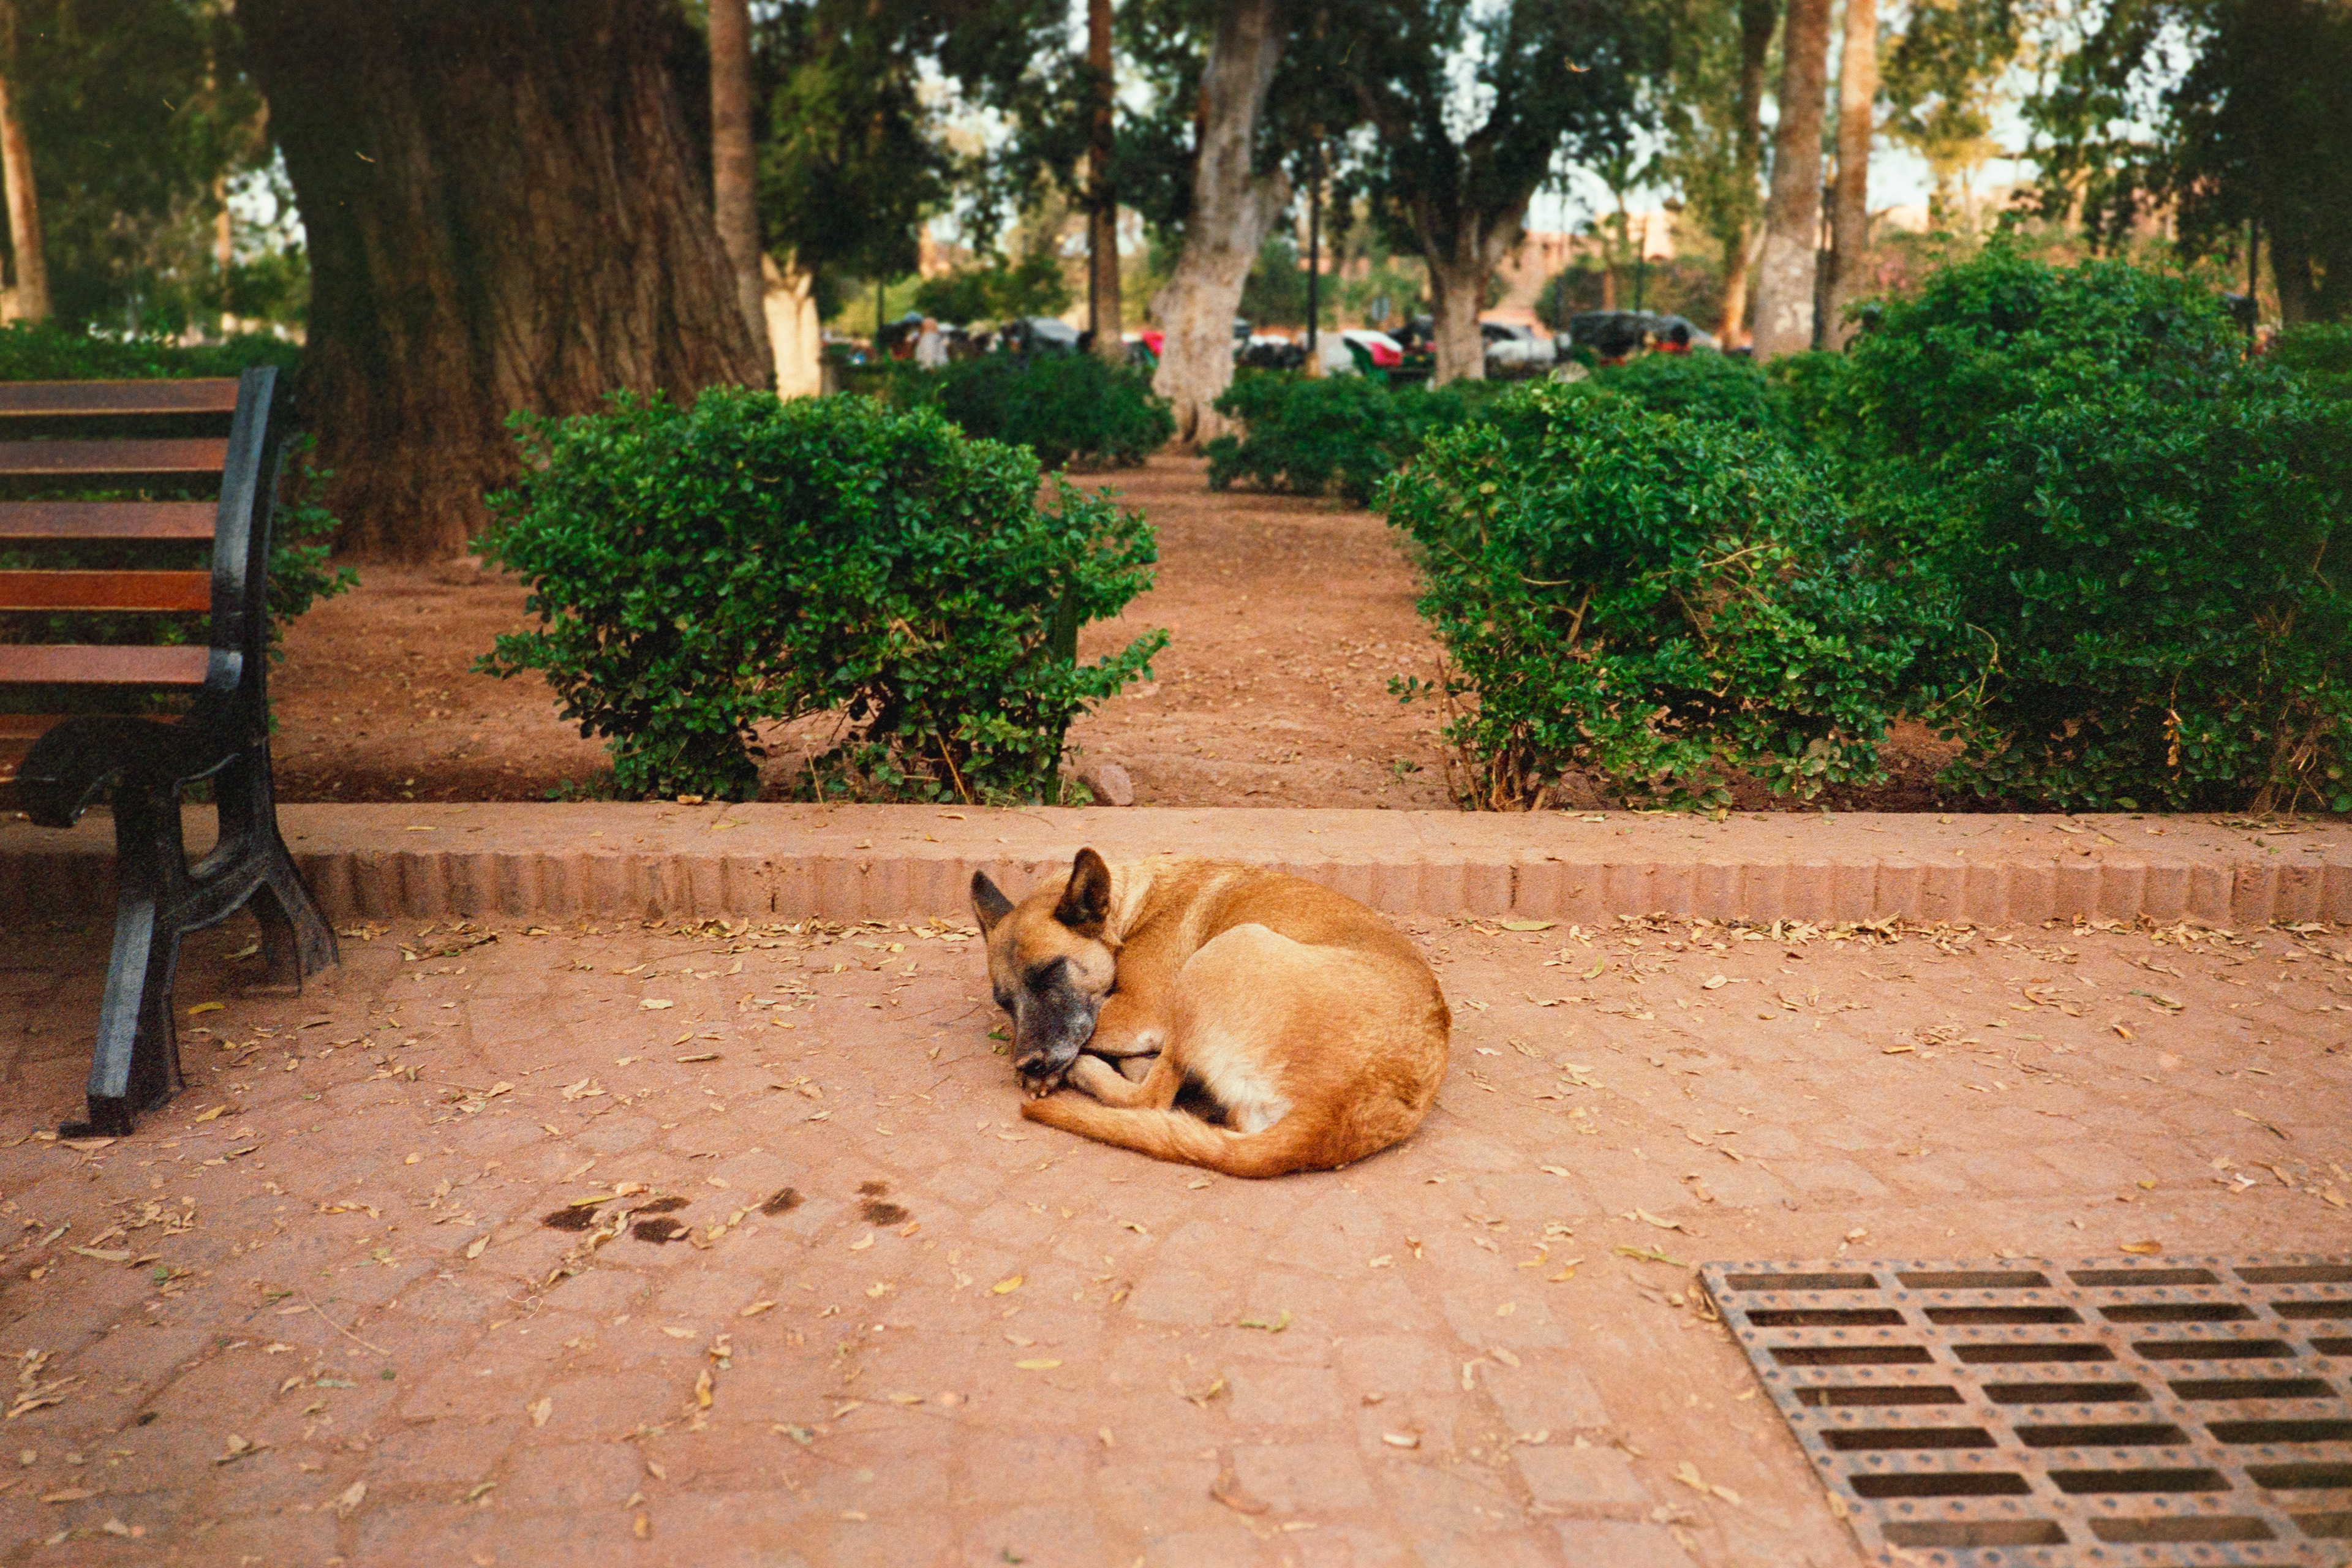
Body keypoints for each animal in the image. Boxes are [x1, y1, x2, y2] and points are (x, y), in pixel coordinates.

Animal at [970, 849, 1451, 1178]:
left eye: (1051, 972)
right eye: (1004, 1001)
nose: (1029, 1064)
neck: (1133, 910)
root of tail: (1334, 1116)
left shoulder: (1137, 1012)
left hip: (1222, 951)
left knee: (1151, 1097)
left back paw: (1089, 1071)